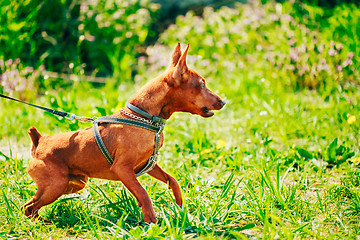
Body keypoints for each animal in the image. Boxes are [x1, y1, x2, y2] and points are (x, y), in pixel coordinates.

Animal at [22, 43, 225, 223]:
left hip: (72, 184)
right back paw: (43, 223)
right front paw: (151, 221)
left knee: (30, 205)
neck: (142, 118)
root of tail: (39, 142)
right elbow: (143, 194)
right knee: (28, 207)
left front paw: (180, 205)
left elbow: (172, 180)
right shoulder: (123, 169)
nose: (223, 101)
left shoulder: (148, 164)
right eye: (202, 85)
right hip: (56, 186)